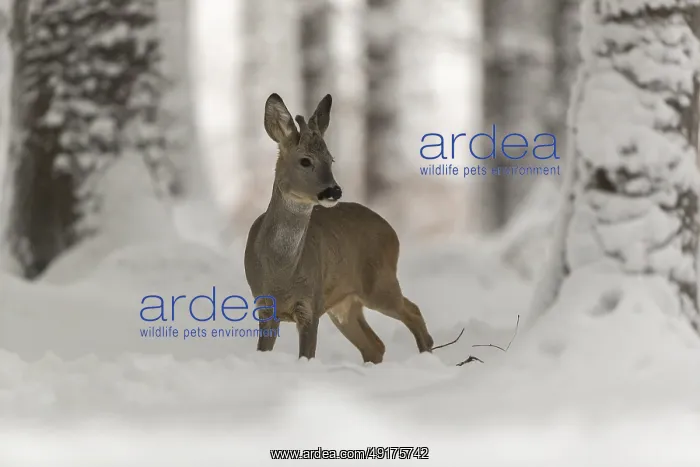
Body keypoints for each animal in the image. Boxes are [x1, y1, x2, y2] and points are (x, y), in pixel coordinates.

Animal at [244, 92, 434, 363]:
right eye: (305, 161)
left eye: (331, 159)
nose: (334, 190)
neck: (281, 271)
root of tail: (392, 232)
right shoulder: (265, 306)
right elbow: (263, 350)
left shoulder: (310, 305)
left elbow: (307, 355)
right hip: (344, 304)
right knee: (374, 345)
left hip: (379, 282)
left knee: (413, 311)